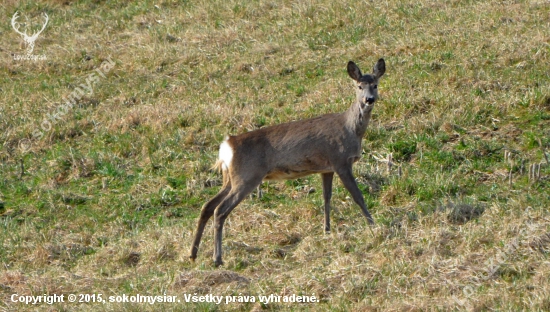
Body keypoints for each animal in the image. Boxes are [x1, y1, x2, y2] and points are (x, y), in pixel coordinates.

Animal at [192, 59, 386, 266]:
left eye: (375, 85)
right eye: (359, 86)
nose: (369, 100)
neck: (350, 129)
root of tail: (227, 145)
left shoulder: (327, 168)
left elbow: (326, 198)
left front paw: (327, 229)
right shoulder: (341, 160)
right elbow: (358, 196)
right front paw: (372, 224)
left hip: (230, 178)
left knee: (207, 206)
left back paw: (193, 253)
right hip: (247, 176)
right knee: (220, 210)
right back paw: (217, 258)